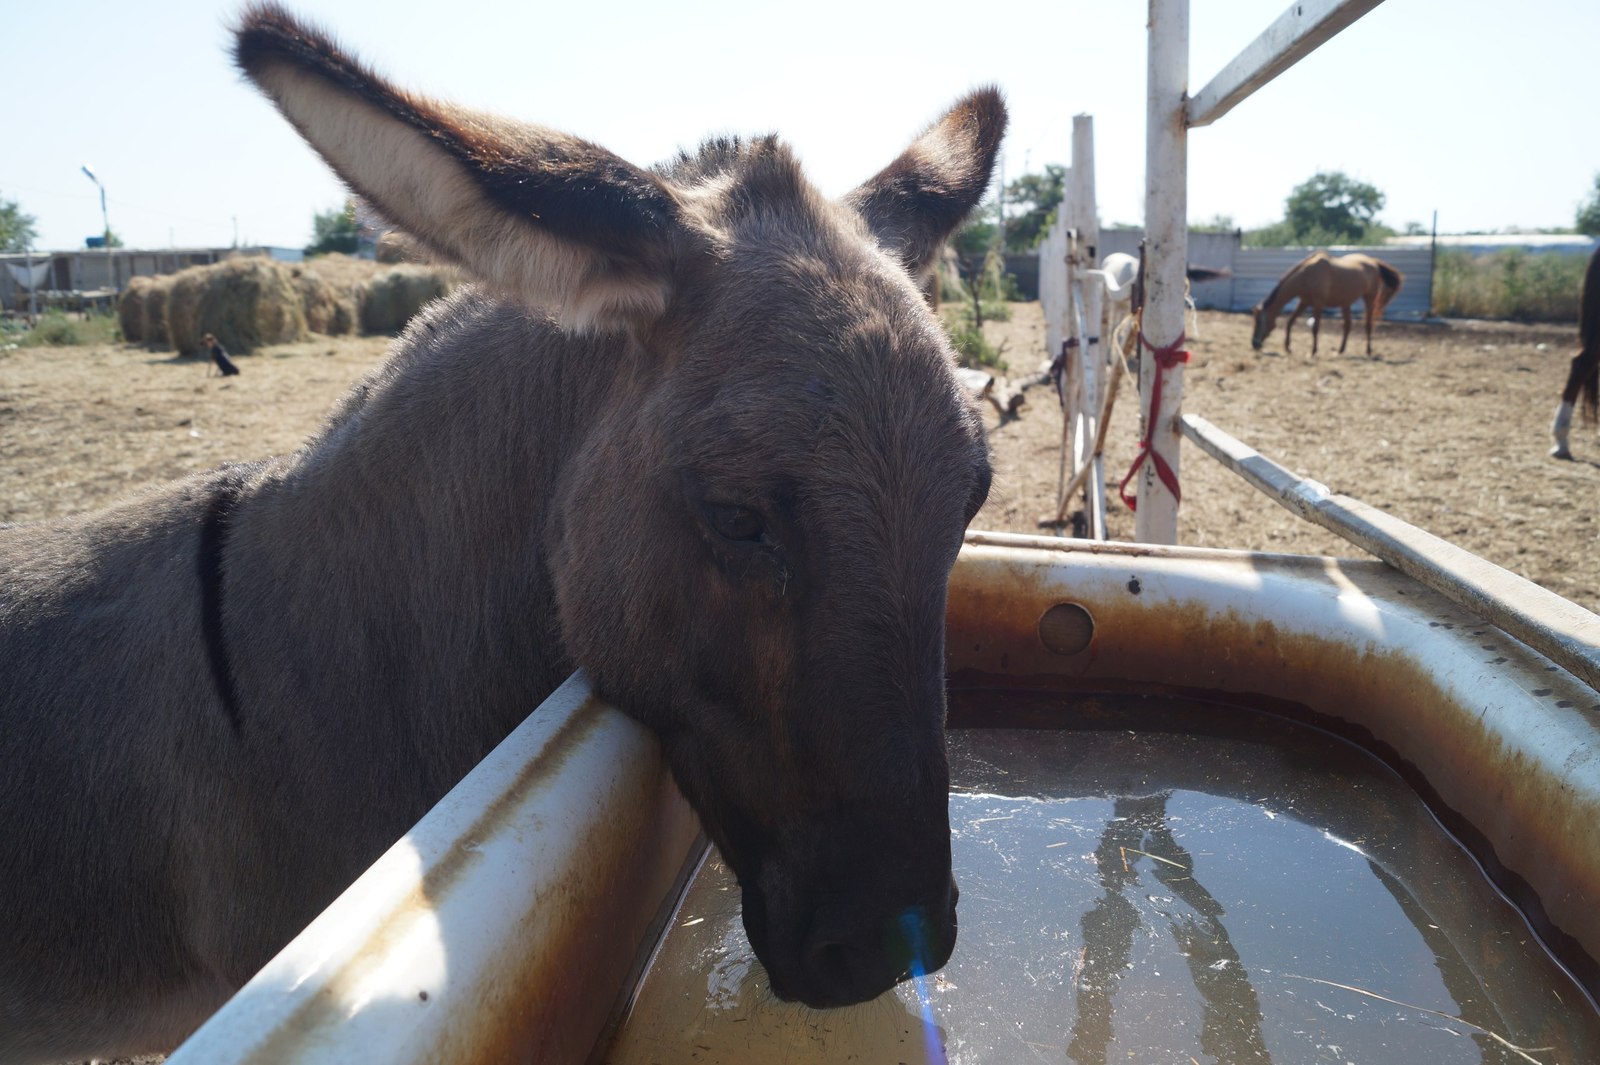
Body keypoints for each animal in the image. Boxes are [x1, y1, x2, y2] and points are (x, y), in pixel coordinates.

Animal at [1248, 249, 1401, 356]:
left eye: (1259, 321)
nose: (1254, 344)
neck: (1307, 275)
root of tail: (1373, 262)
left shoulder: (1318, 304)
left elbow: (1315, 328)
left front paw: (1313, 351)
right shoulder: (1304, 302)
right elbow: (1290, 322)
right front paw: (1288, 347)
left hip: (1369, 299)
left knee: (1368, 325)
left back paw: (1368, 351)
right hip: (1346, 303)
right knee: (1347, 326)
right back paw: (1340, 350)